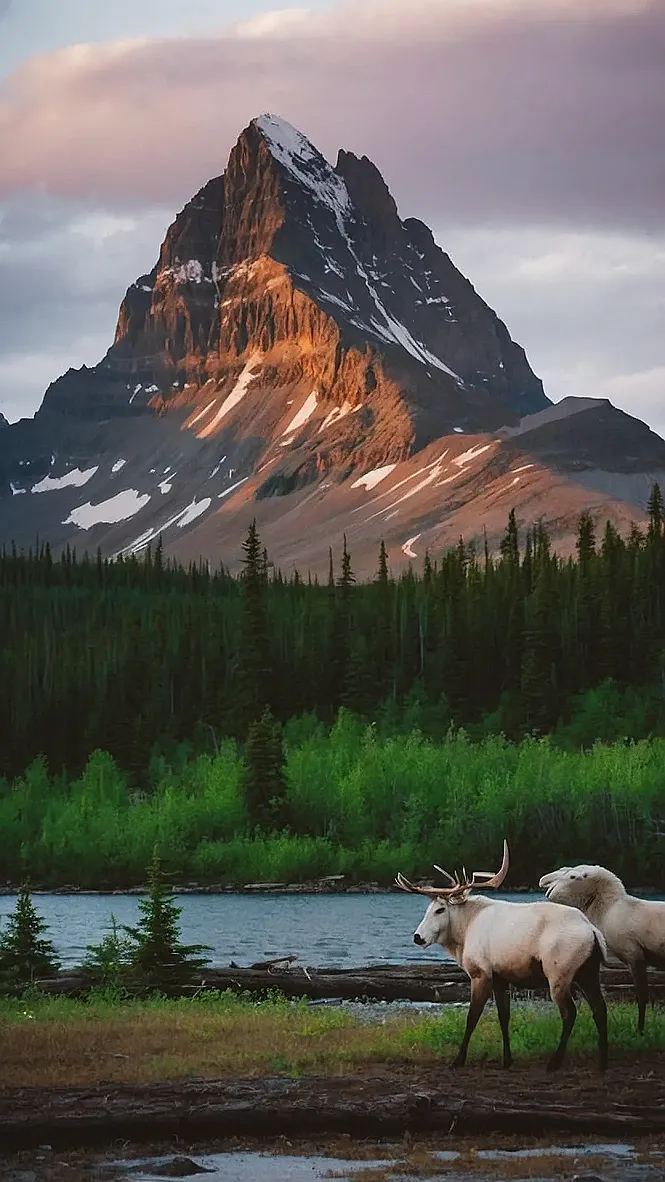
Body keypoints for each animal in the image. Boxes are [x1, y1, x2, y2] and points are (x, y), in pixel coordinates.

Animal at [397, 841, 608, 1072]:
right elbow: (503, 1016)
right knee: (600, 1009)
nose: (418, 937)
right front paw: (507, 1059)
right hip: (587, 972)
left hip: (559, 974)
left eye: (440, 909)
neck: (463, 933)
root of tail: (593, 932)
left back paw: (555, 1062)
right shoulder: (500, 976)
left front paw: (458, 1060)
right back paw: (601, 1062)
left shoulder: (480, 972)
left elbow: (472, 1017)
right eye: (429, 909)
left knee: (570, 1013)